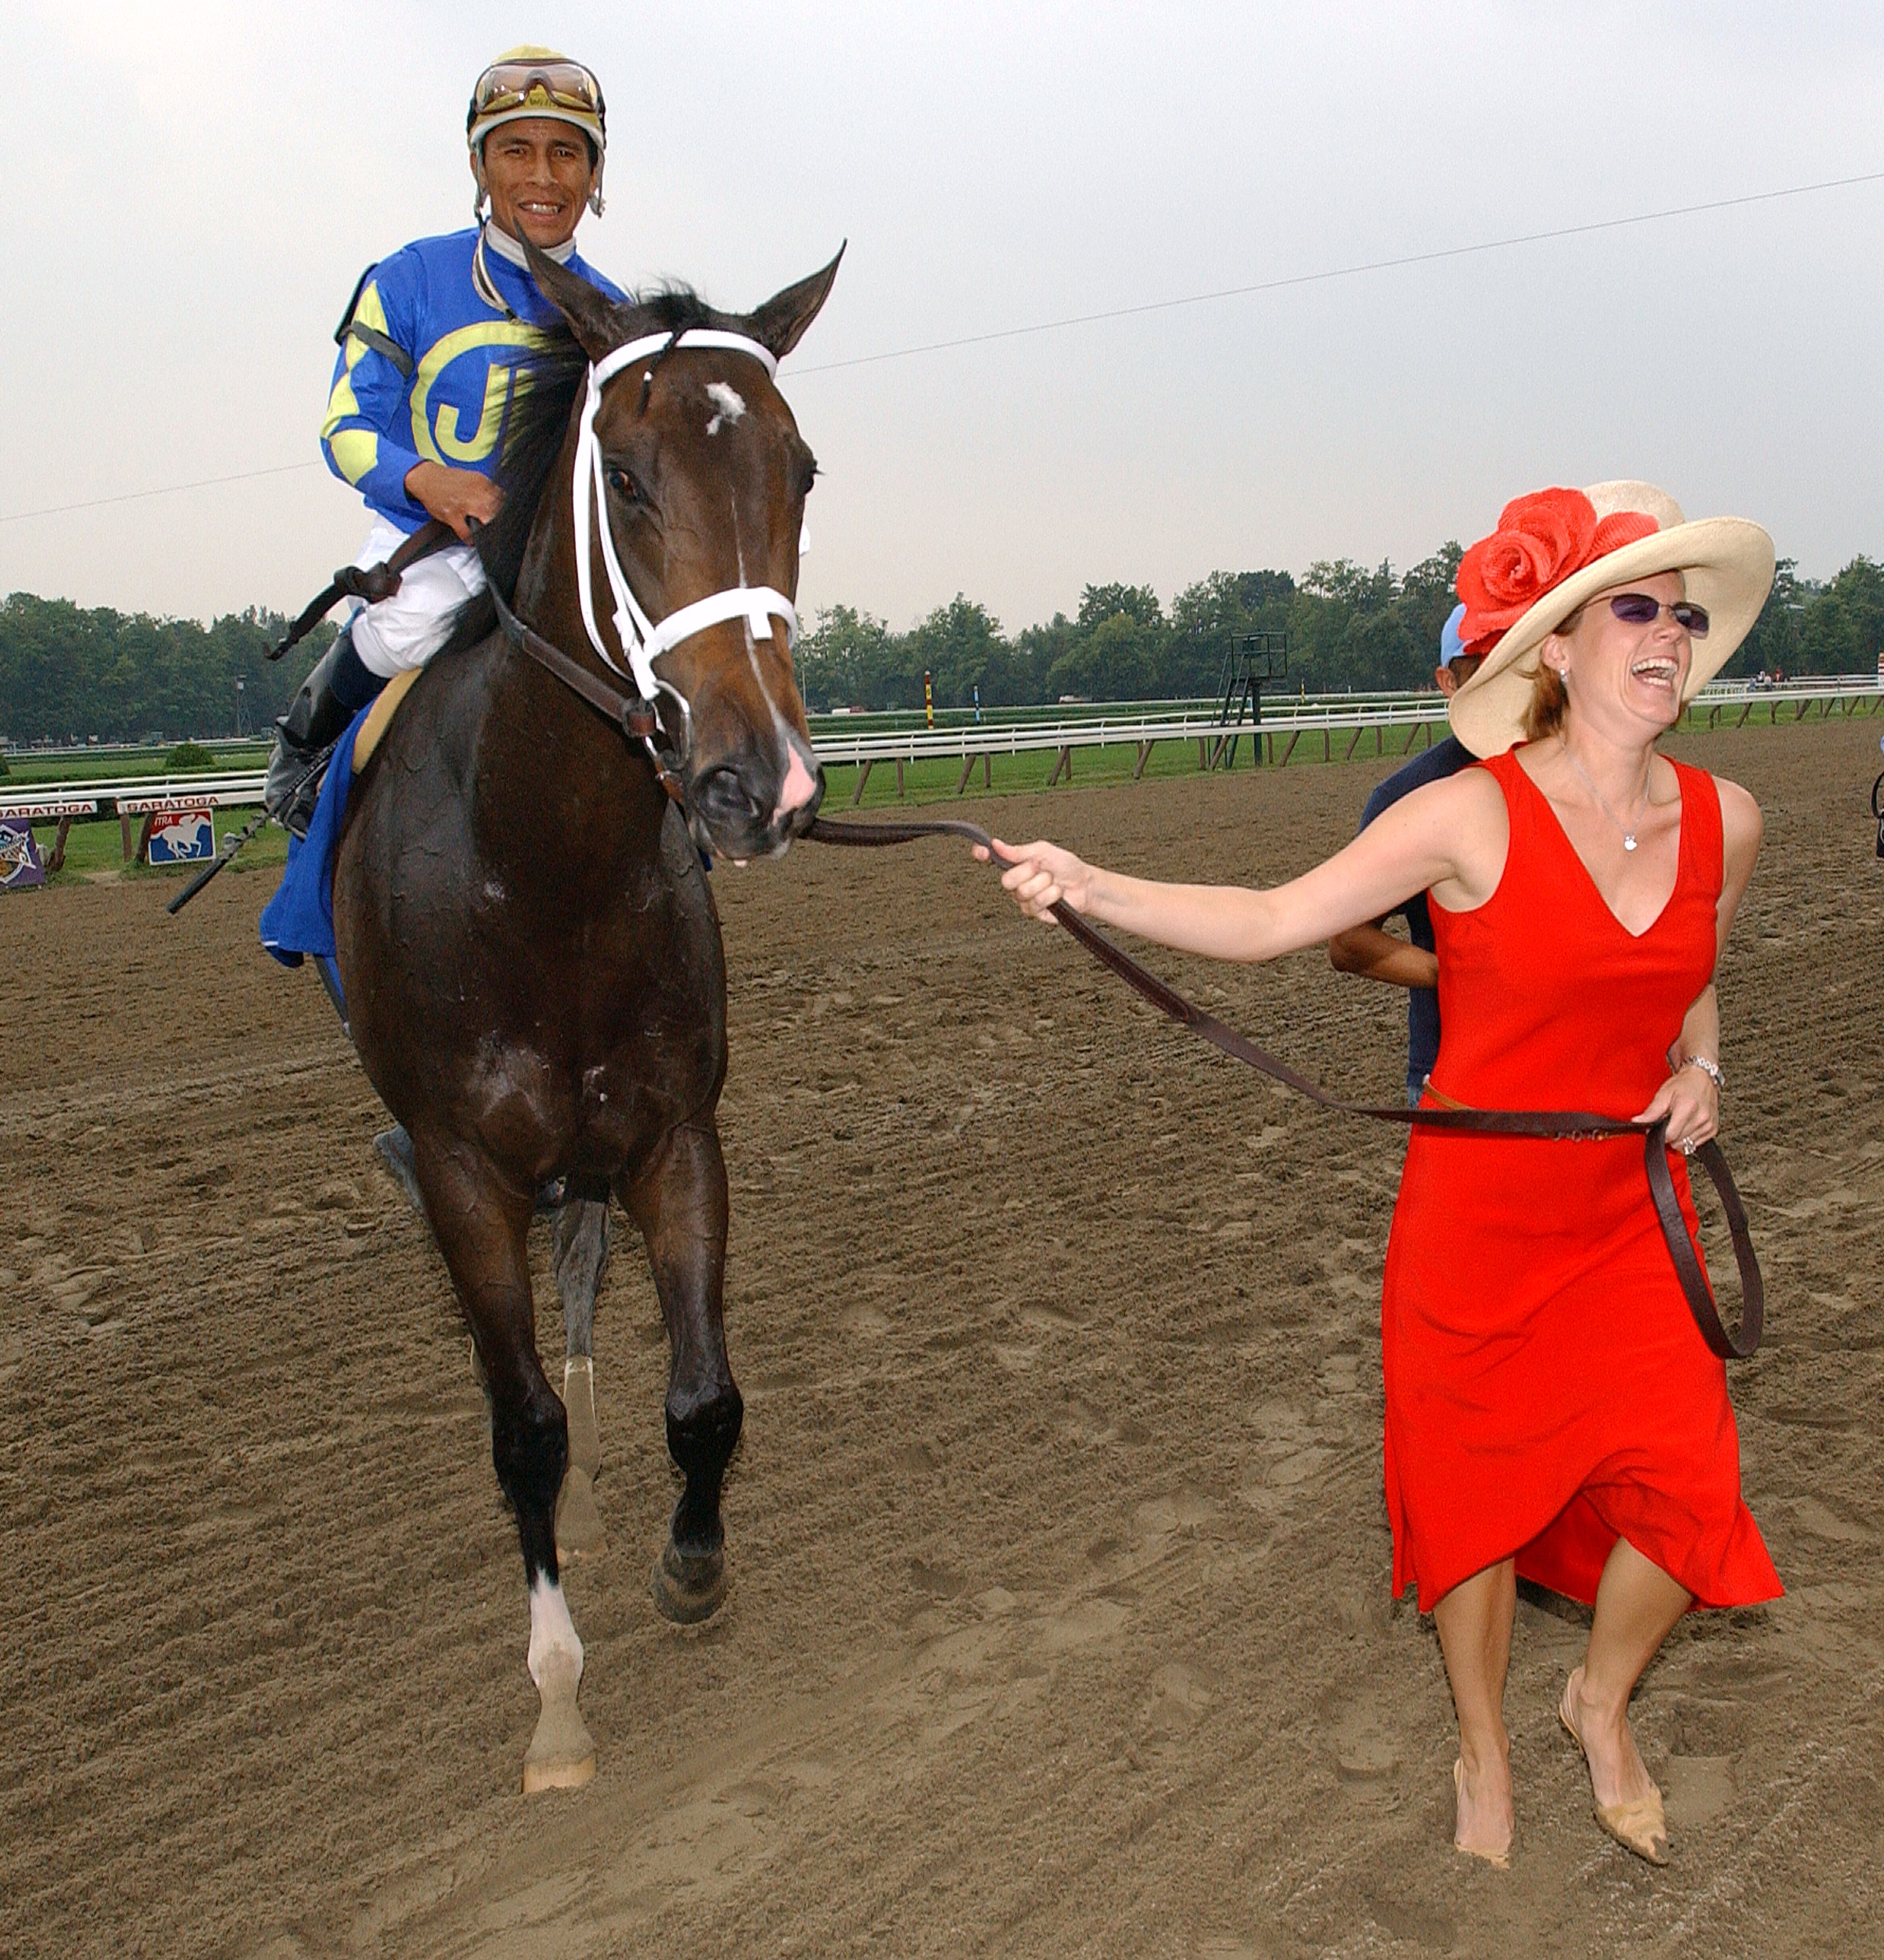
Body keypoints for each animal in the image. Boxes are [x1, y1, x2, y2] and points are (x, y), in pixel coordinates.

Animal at [335, 241, 843, 1795]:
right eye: (620, 475)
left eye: (800, 469)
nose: (758, 781)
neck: (542, 868)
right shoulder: (463, 1171)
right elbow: (521, 1434)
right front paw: (556, 1700)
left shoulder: (675, 1132)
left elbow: (705, 1399)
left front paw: (690, 1563)